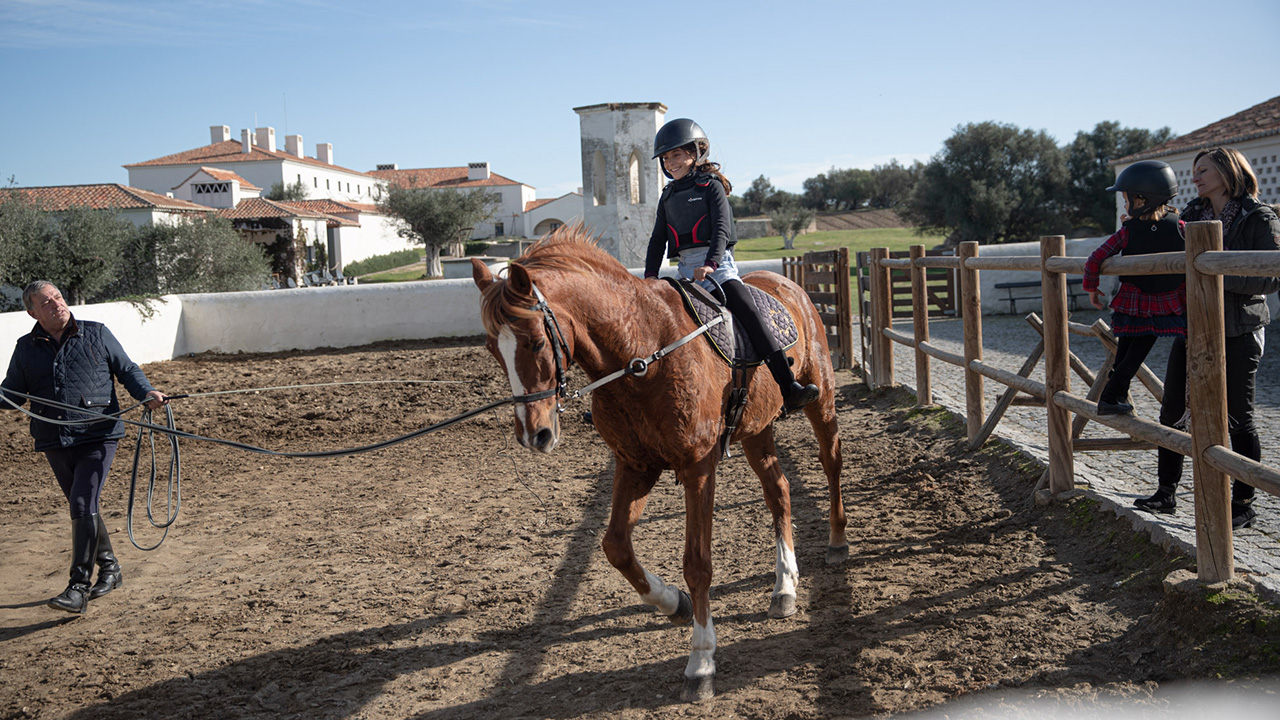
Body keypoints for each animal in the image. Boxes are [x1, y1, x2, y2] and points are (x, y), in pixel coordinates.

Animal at [471, 227, 848, 702]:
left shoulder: (698, 468)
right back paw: (784, 587)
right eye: (492, 348)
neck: (642, 356)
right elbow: (615, 547)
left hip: (822, 403)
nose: (533, 434)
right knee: (778, 491)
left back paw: (837, 542)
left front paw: (701, 660)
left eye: (536, 341)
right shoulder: (635, 466)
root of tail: (788, 286)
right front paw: (672, 603)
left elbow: (698, 563)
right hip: (756, 430)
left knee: (831, 462)